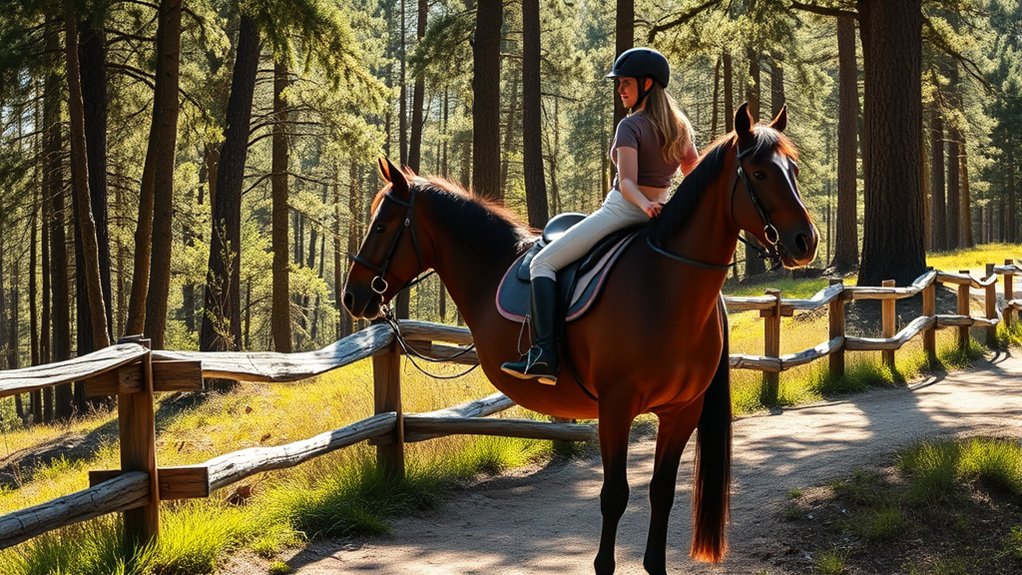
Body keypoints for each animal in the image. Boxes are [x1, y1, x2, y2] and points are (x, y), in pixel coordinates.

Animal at [343, 103, 818, 574]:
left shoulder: (682, 410)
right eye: (760, 173)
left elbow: (661, 492)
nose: (805, 241)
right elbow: (615, 495)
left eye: (791, 169)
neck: (663, 284)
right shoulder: (616, 408)